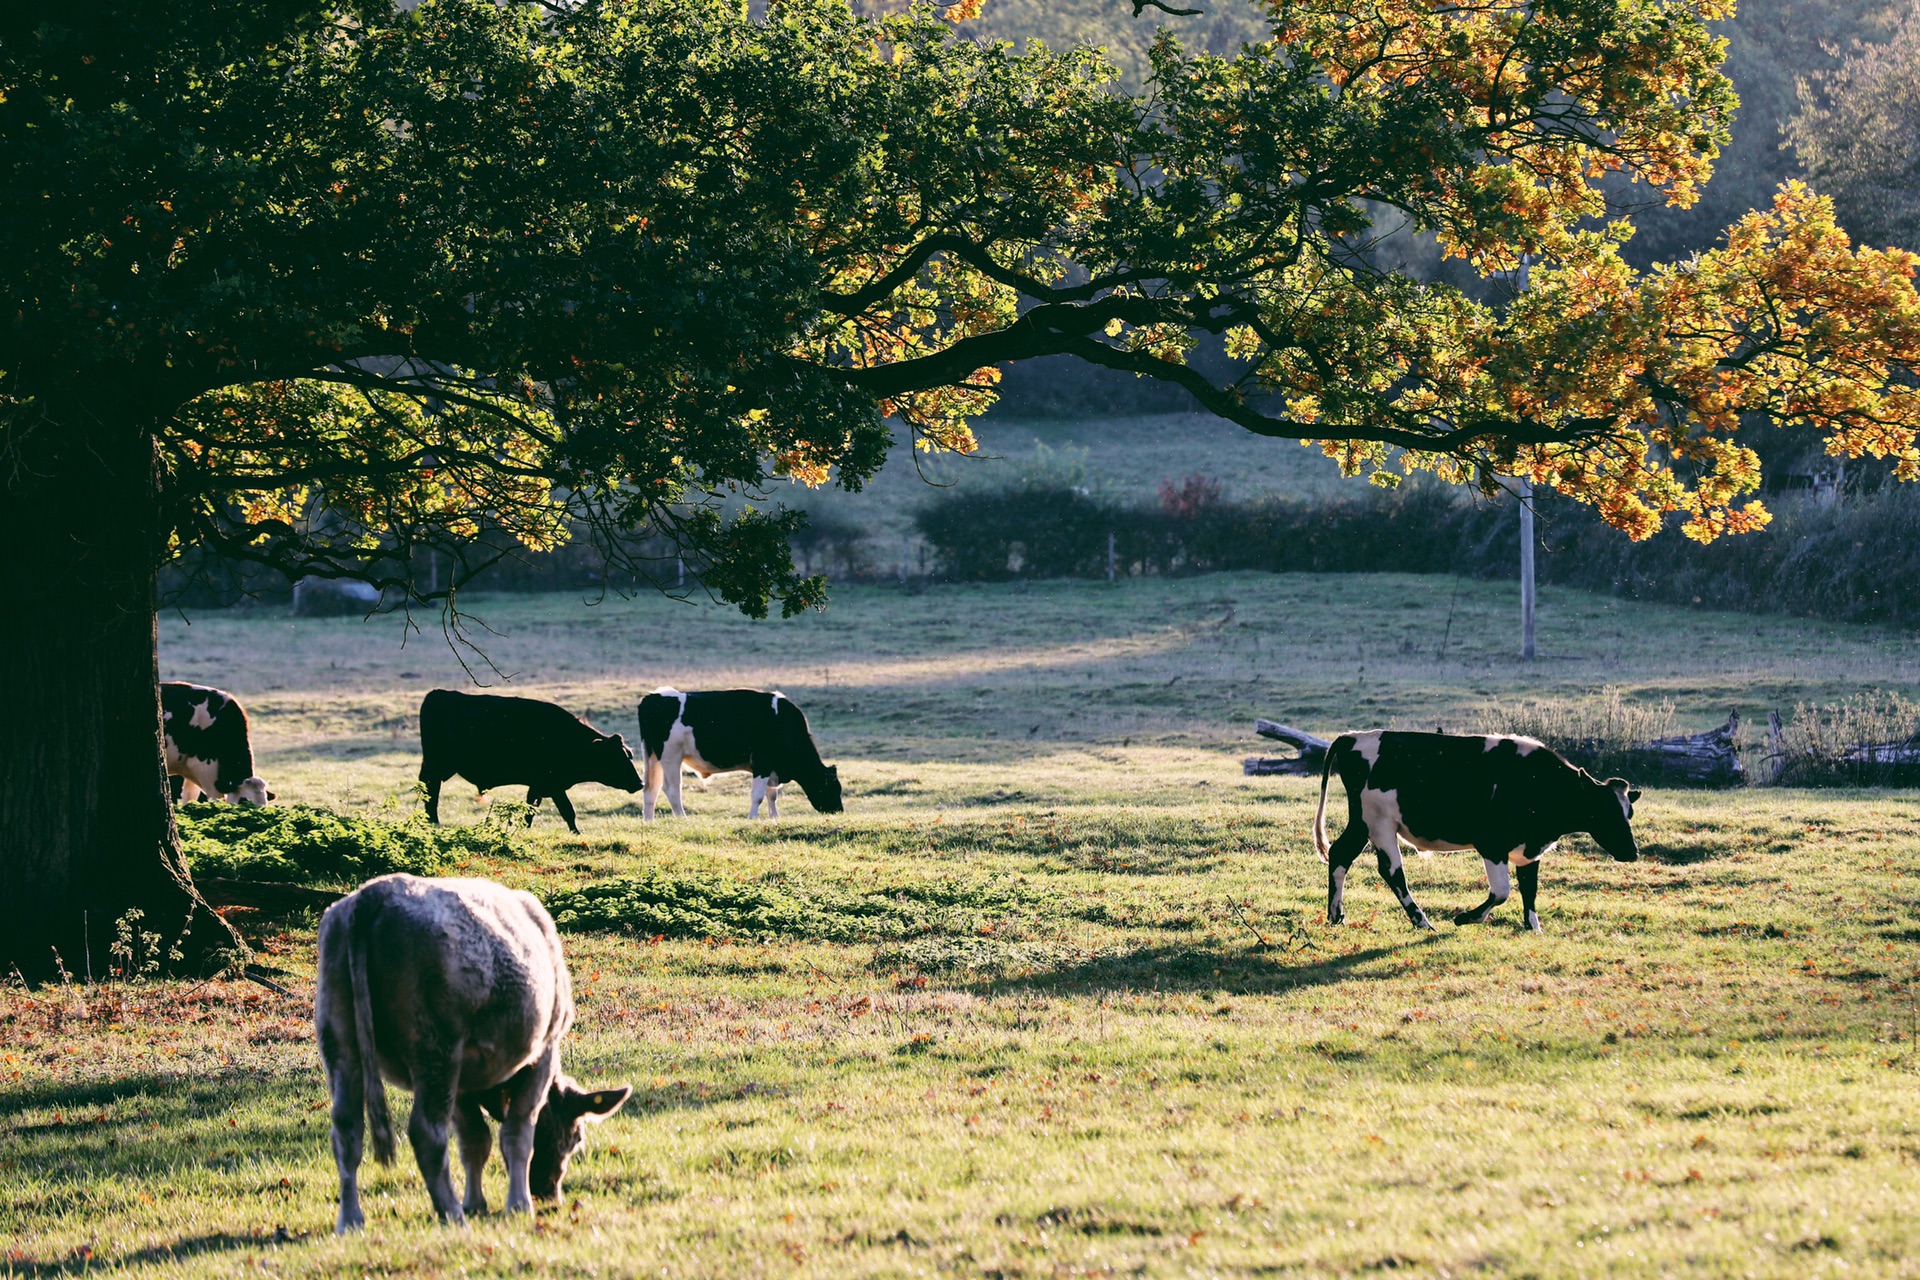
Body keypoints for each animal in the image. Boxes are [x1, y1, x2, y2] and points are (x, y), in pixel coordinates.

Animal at [314, 871, 629, 1228]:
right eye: (576, 1139)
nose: (547, 1192)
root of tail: (375, 892)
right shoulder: (542, 1054)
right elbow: (517, 1134)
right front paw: (517, 1205)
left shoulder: (463, 1082)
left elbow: (475, 1140)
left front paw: (475, 1203)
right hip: (435, 1051)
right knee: (426, 1132)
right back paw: (451, 1214)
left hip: (340, 1042)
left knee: (347, 1131)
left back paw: (351, 1220)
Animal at [416, 687, 641, 836]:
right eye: (615, 759)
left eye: (627, 755)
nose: (640, 783)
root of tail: (438, 694)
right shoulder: (552, 785)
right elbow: (567, 810)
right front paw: (577, 833)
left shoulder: (540, 786)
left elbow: (531, 810)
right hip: (436, 767)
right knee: (431, 793)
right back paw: (434, 822)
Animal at [637, 690, 840, 821]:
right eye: (833, 788)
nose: (838, 810)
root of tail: (651, 698)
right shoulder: (762, 763)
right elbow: (758, 795)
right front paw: (753, 818)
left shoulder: (771, 768)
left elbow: (771, 795)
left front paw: (775, 817)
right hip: (671, 756)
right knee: (671, 789)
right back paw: (682, 818)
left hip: (652, 757)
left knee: (651, 789)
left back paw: (649, 821)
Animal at [1313, 729, 1643, 932]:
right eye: (1603, 811)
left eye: (1628, 812)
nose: (1632, 852)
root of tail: (1352, 737)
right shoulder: (1492, 844)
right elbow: (1502, 892)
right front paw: (1466, 918)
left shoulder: (1529, 850)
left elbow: (1530, 887)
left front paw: (1533, 926)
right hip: (1379, 823)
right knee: (1392, 872)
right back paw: (1422, 922)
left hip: (1362, 824)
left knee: (1341, 855)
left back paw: (1336, 915)